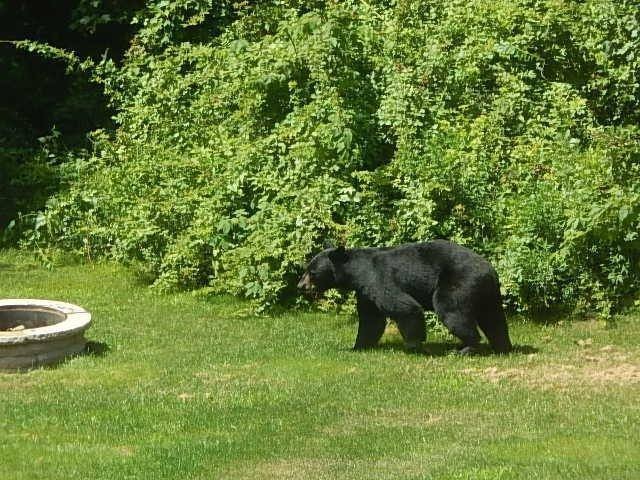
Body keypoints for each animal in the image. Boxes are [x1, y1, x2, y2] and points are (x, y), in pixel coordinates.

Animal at [298, 239, 512, 354]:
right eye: (307, 269)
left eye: (312, 272)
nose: (300, 285)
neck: (356, 273)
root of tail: (490, 270)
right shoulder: (365, 292)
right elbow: (370, 321)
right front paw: (357, 347)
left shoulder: (378, 280)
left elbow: (406, 307)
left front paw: (414, 345)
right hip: (487, 293)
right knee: (494, 319)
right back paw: (503, 347)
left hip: (460, 282)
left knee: (450, 310)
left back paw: (465, 348)